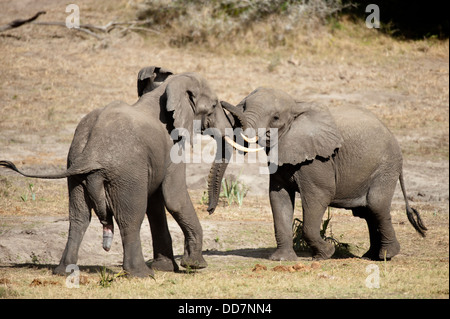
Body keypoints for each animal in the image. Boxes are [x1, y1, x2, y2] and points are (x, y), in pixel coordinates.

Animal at [0, 67, 246, 278]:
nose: (210, 210)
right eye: (213, 105)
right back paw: (141, 274)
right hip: (125, 173)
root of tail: (92, 151)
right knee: (131, 218)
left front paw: (169, 268)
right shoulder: (173, 147)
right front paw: (195, 265)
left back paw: (64, 271)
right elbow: (173, 198)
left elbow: (156, 204)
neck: (163, 89)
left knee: (79, 218)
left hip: (77, 169)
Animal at [209, 86, 428, 262]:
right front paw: (281, 260)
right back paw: (369, 256)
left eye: (276, 118)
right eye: (244, 106)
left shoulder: (318, 161)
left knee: (376, 205)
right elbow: (279, 198)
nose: (210, 211)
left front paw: (325, 254)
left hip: (386, 166)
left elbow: (318, 196)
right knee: (366, 212)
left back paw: (386, 255)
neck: (297, 106)